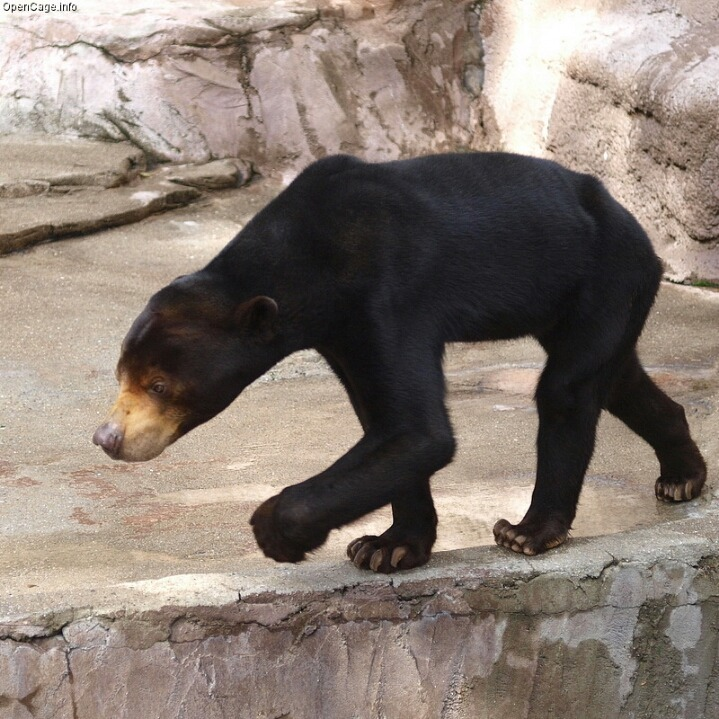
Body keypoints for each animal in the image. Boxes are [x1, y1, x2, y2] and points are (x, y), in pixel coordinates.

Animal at [93, 152, 704, 572]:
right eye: (122, 375)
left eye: (160, 385)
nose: (107, 438)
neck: (310, 267)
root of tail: (638, 229)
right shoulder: (342, 333)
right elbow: (384, 425)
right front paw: (388, 547)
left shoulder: (389, 294)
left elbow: (417, 430)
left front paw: (277, 532)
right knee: (616, 379)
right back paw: (682, 474)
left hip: (604, 275)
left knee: (567, 390)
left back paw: (529, 530)